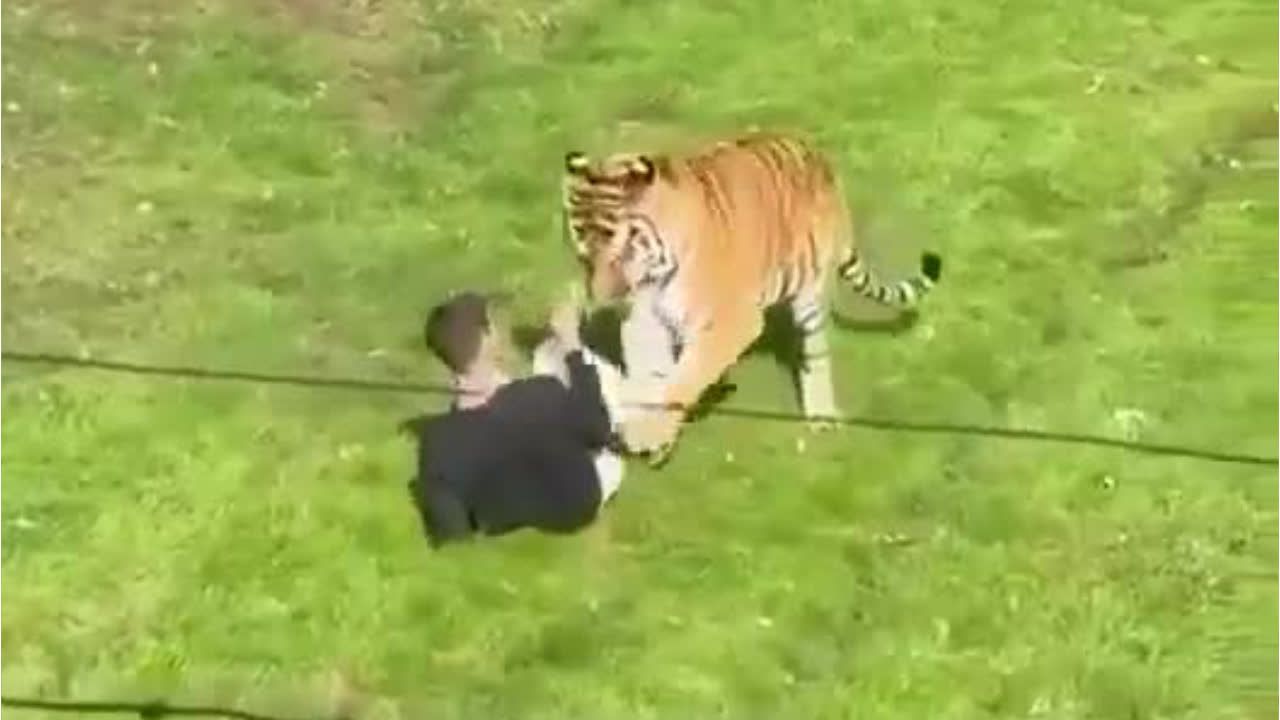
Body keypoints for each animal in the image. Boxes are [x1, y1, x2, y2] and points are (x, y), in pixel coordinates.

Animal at [561, 132, 943, 460]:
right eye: (582, 248)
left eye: (621, 247)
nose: (599, 297)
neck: (656, 272)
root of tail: (819, 159)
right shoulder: (645, 322)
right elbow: (650, 374)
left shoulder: (731, 322)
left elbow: (684, 379)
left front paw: (651, 435)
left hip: (809, 297)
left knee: (815, 355)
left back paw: (820, 416)